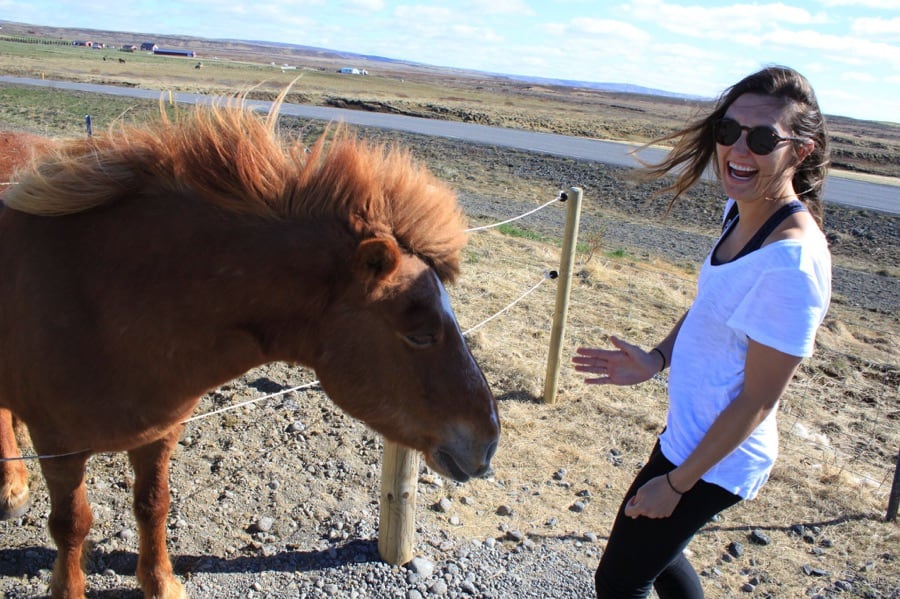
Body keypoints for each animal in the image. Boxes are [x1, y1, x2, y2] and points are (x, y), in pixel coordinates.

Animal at [0, 104, 500, 599]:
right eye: (420, 334)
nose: (489, 440)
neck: (106, 295)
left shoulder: (158, 432)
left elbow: (153, 505)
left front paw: (161, 583)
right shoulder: (59, 449)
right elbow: (71, 525)